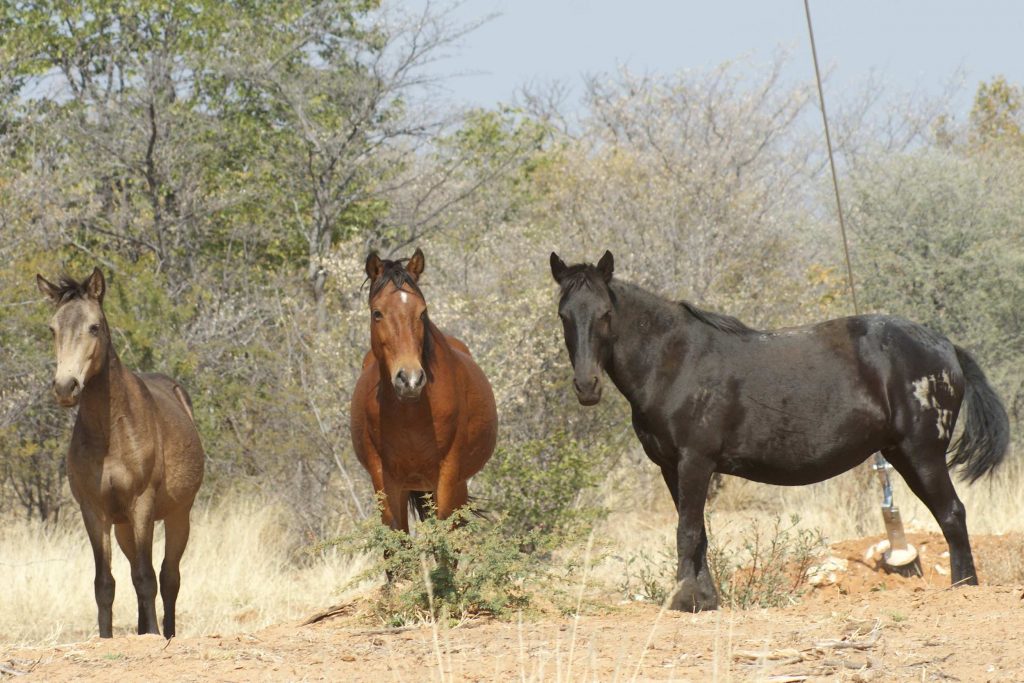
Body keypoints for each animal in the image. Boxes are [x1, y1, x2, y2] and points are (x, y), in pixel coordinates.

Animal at [36, 268, 203, 643]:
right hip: (124, 525)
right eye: (52, 329)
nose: (65, 387)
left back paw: (167, 633)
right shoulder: (94, 511)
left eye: (94, 327)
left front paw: (153, 635)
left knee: (169, 577)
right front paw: (107, 637)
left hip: (177, 515)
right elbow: (105, 583)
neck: (111, 433)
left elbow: (146, 577)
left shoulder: (142, 504)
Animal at [350, 248, 497, 532]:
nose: (410, 379)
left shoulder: (447, 477)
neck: (411, 414)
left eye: (421, 312)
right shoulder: (386, 483)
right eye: (377, 313)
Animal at [552, 250, 1007, 614]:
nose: (587, 386)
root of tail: (946, 346)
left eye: (605, 314)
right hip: (901, 454)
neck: (675, 361)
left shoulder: (695, 461)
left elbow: (687, 531)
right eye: (564, 315)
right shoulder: (670, 467)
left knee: (952, 514)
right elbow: (699, 534)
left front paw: (683, 599)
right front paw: (706, 599)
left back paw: (965, 588)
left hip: (922, 454)